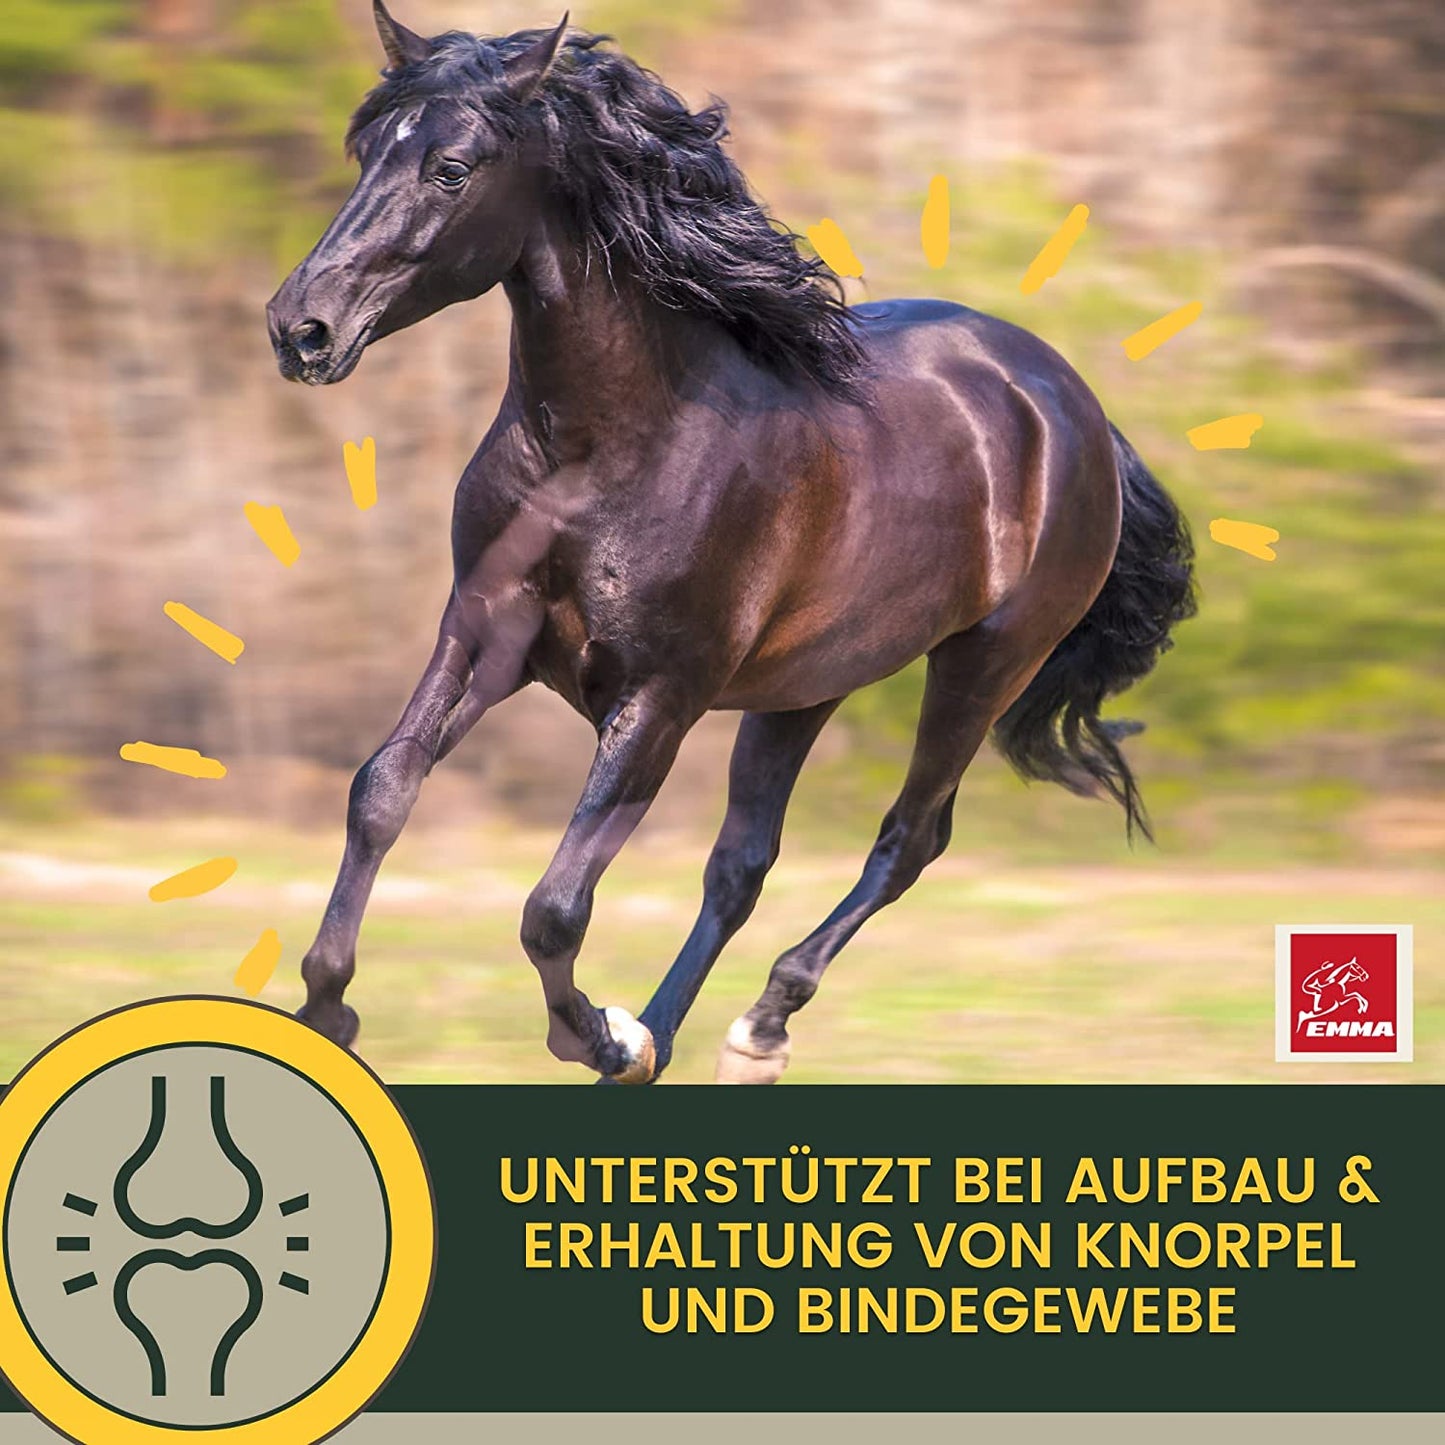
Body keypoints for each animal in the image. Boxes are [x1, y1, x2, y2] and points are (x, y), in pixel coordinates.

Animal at [265, 4, 1197, 1084]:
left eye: (451, 168)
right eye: (366, 148)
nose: (300, 328)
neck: (606, 446)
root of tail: (1068, 401)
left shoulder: (660, 693)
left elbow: (554, 905)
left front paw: (593, 1031)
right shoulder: (484, 632)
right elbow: (382, 788)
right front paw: (327, 1007)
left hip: (984, 663)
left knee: (908, 837)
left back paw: (750, 1028)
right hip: (806, 683)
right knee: (743, 861)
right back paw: (674, 1037)